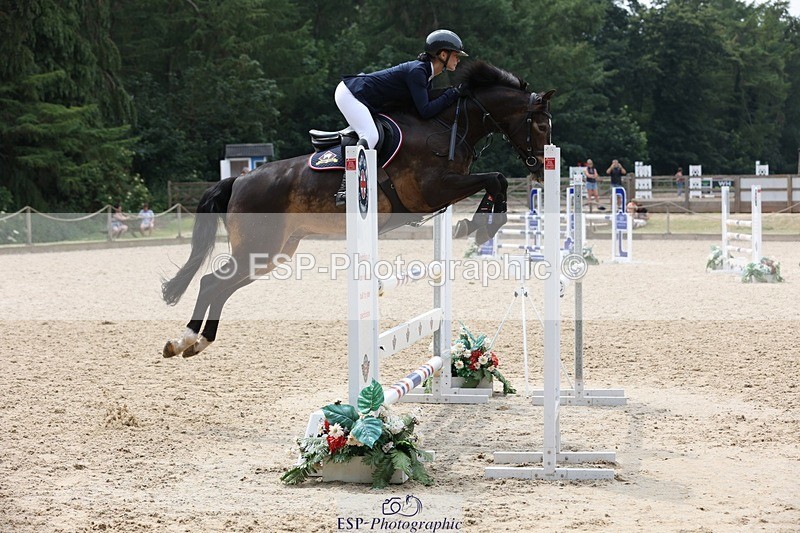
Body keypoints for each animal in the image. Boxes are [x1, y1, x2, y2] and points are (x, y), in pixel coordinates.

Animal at [161, 61, 554, 358]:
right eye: (540, 124)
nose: (539, 167)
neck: (447, 125)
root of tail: (240, 180)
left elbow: (496, 183)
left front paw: (474, 226)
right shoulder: (432, 190)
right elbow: (496, 179)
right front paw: (477, 227)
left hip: (273, 253)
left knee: (221, 286)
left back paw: (196, 342)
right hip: (259, 247)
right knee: (212, 282)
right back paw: (184, 340)